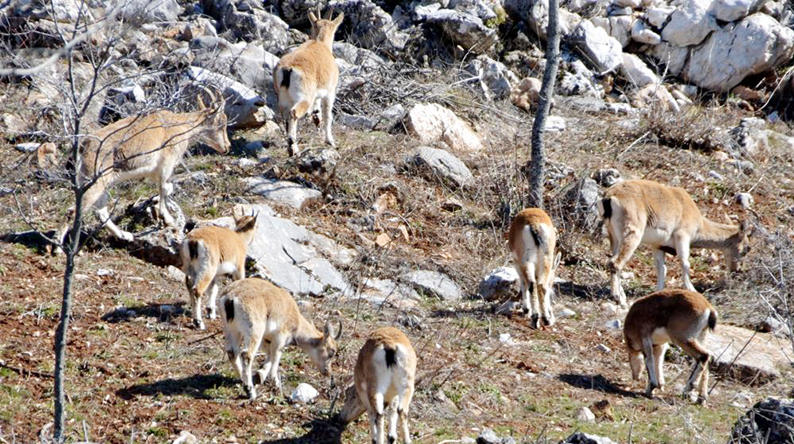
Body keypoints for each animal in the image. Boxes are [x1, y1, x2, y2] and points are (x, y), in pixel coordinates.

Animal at [59, 88, 229, 245]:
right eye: (221, 123)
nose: (226, 147)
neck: (180, 126)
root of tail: (83, 146)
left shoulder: (155, 173)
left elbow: (165, 189)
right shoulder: (166, 166)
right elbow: (165, 188)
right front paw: (169, 221)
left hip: (98, 184)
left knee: (100, 211)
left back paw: (125, 235)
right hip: (94, 182)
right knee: (73, 211)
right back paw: (59, 247)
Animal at [270, 6, 342, 157]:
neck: (321, 43)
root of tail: (287, 70)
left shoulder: (317, 95)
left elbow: (317, 112)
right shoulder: (330, 93)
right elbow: (328, 116)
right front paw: (330, 141)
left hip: (283, 99)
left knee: (285, 117)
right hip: (304, 97)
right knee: (294, 113)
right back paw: (294, 149)